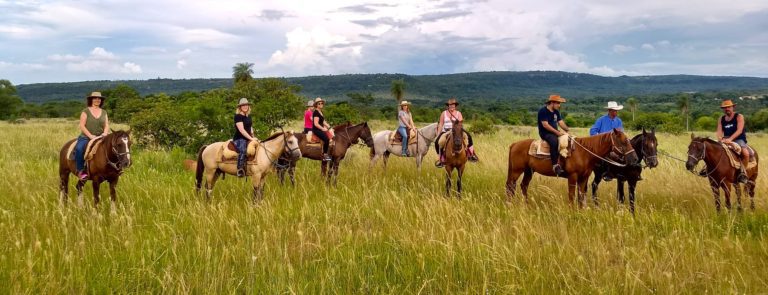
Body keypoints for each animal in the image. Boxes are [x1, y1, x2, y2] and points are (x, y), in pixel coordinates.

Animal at [504, 130, 636, 208]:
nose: (634, 158)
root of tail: (514, 144)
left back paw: (526, 205)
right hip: (516, 171)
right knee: (510, 186)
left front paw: (581, 211)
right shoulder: (573, 176)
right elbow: (572, 195)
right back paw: (510, 205)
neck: (584, 152)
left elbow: (581, 195)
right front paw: (572, 211)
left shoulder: (583, 178)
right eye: (624, 141)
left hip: (528, 171)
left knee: (523, 186)